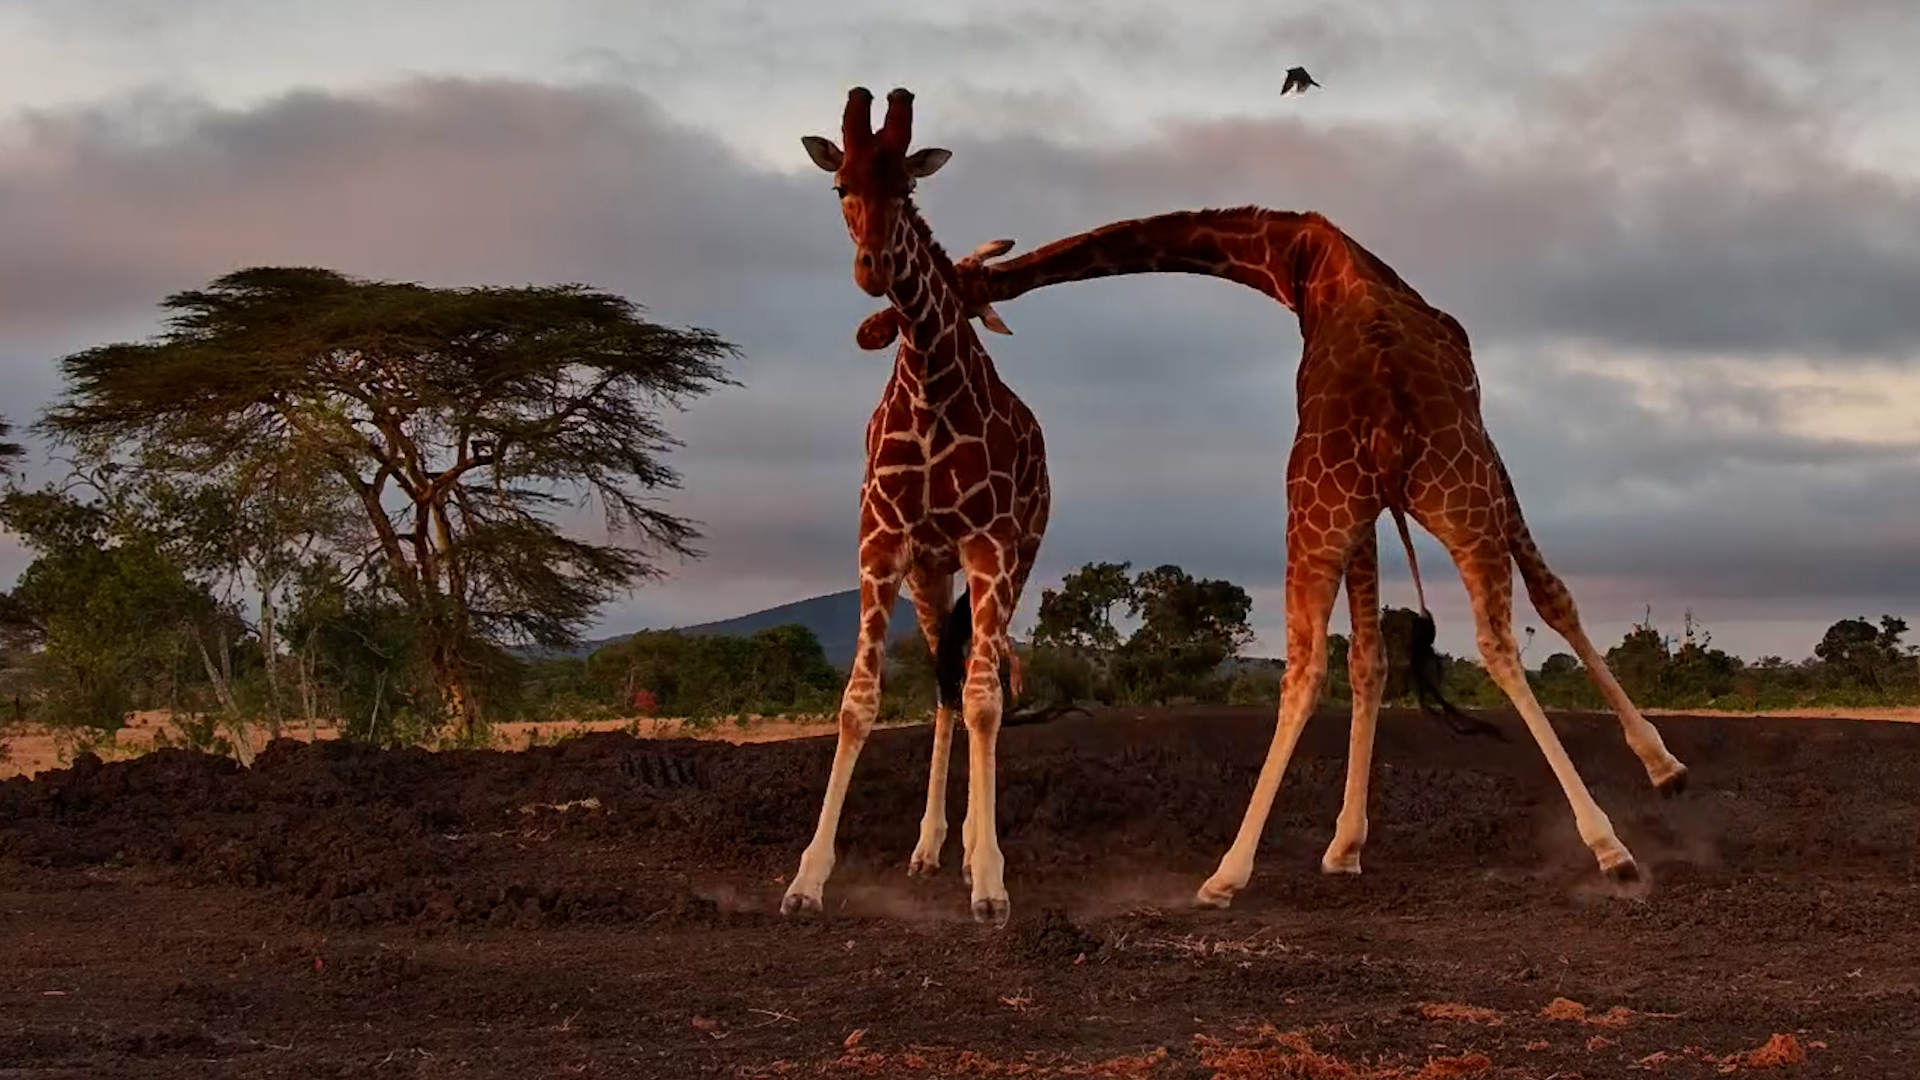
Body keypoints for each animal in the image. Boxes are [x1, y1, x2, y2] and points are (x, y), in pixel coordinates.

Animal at [783, 87, 1051, 926]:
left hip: (1016, 556)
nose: (871, 271)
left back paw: (967, 851)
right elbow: (857, 703)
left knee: (974, 680)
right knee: (943, 679)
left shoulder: (989, 545)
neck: (931, 380)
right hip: (932, 575)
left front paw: (992, 882)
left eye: (905, 189)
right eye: (841, 187)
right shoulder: (881, 542)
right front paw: (807, 881)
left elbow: (988, 701)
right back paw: (932, 847)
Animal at [876, 206, 1691, 908]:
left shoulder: (1403, 492)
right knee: (1453, 646)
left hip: (1378, 502)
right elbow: (1406, 648)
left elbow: (1495, 618)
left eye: (968, 287)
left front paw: (1664, 767)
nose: (894, 322)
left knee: (1351, 659)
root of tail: (1387, 399)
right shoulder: (1421, 484)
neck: (1294, 255)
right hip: (1418, 499)